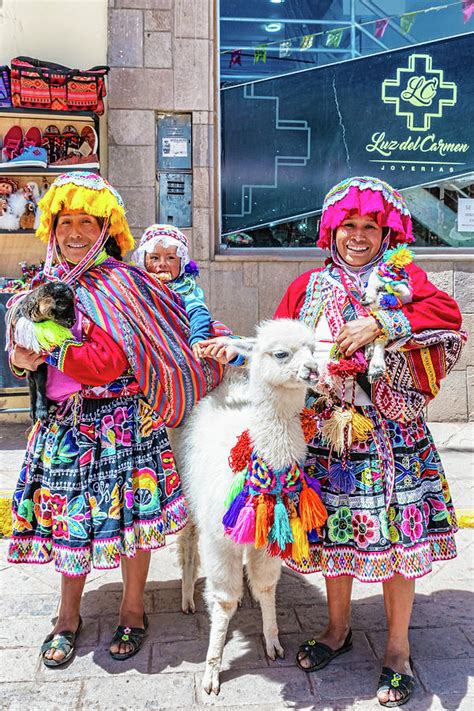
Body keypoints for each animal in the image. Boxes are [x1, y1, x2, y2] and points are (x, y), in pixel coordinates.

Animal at [10, 282, 76, 422]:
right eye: (62, 304)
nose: (74, 320)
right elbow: (35, 388)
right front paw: (38, 412)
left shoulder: (40, 364)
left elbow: (40, 385)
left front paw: (42, 411)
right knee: (31, 387)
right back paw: (34, 412)